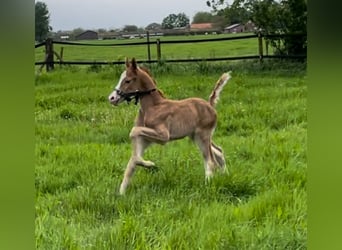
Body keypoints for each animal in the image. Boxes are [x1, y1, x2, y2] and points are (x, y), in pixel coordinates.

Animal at [109, 57, 232, 194]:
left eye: (127, 80)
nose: (112, 98)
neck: (153, 106)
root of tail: (210, 104)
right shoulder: (144, 140)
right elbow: (132, 162)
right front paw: (121, 194)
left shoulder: (163, 136)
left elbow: (133, 131)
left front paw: (152, 165)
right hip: (196, 136)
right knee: (219, 151)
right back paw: (226, 176)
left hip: (202, 135)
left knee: (210, 161)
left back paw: (207, 186)